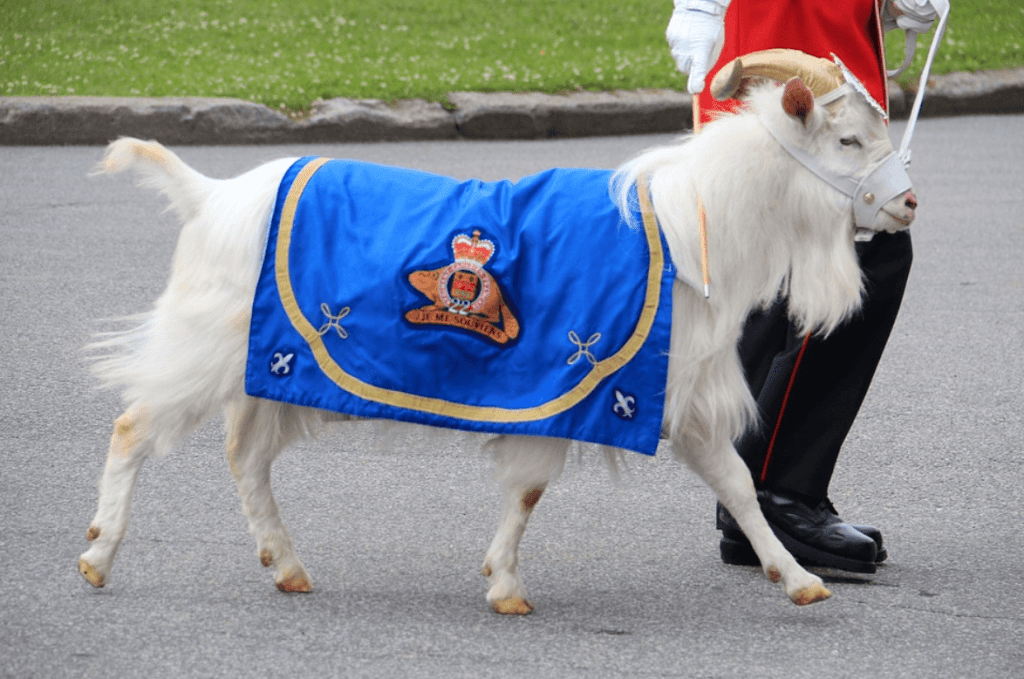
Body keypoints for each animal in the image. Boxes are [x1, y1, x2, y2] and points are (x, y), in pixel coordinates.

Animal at [77, 50, 917, 613]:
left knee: (245, 455)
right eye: (847, 142)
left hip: (272, 362)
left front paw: (798, 578)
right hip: (210, 341)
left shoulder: (672, 391)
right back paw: (99, 554)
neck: (686, 224)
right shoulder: (572, 383)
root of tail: (210, 195)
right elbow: (532, 486)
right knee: (133, 424)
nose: (908, 204)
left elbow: (736, 481)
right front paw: (509, 586)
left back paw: (285, 564)